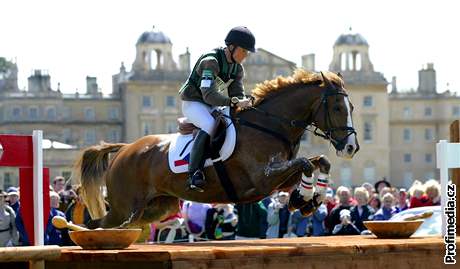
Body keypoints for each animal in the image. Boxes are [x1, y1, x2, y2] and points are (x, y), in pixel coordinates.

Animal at [74, 68, 360, 227]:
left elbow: (318, 161)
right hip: (126, 207)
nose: (351, 147)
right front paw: (304, 199)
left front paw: (310, 198)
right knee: (100, 224)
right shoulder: (262, 178)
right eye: (337, 108)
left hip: (156, 207)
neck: (269, 124)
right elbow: (305, 163)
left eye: (352, 107)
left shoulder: (280, 178)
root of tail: (125, 149)